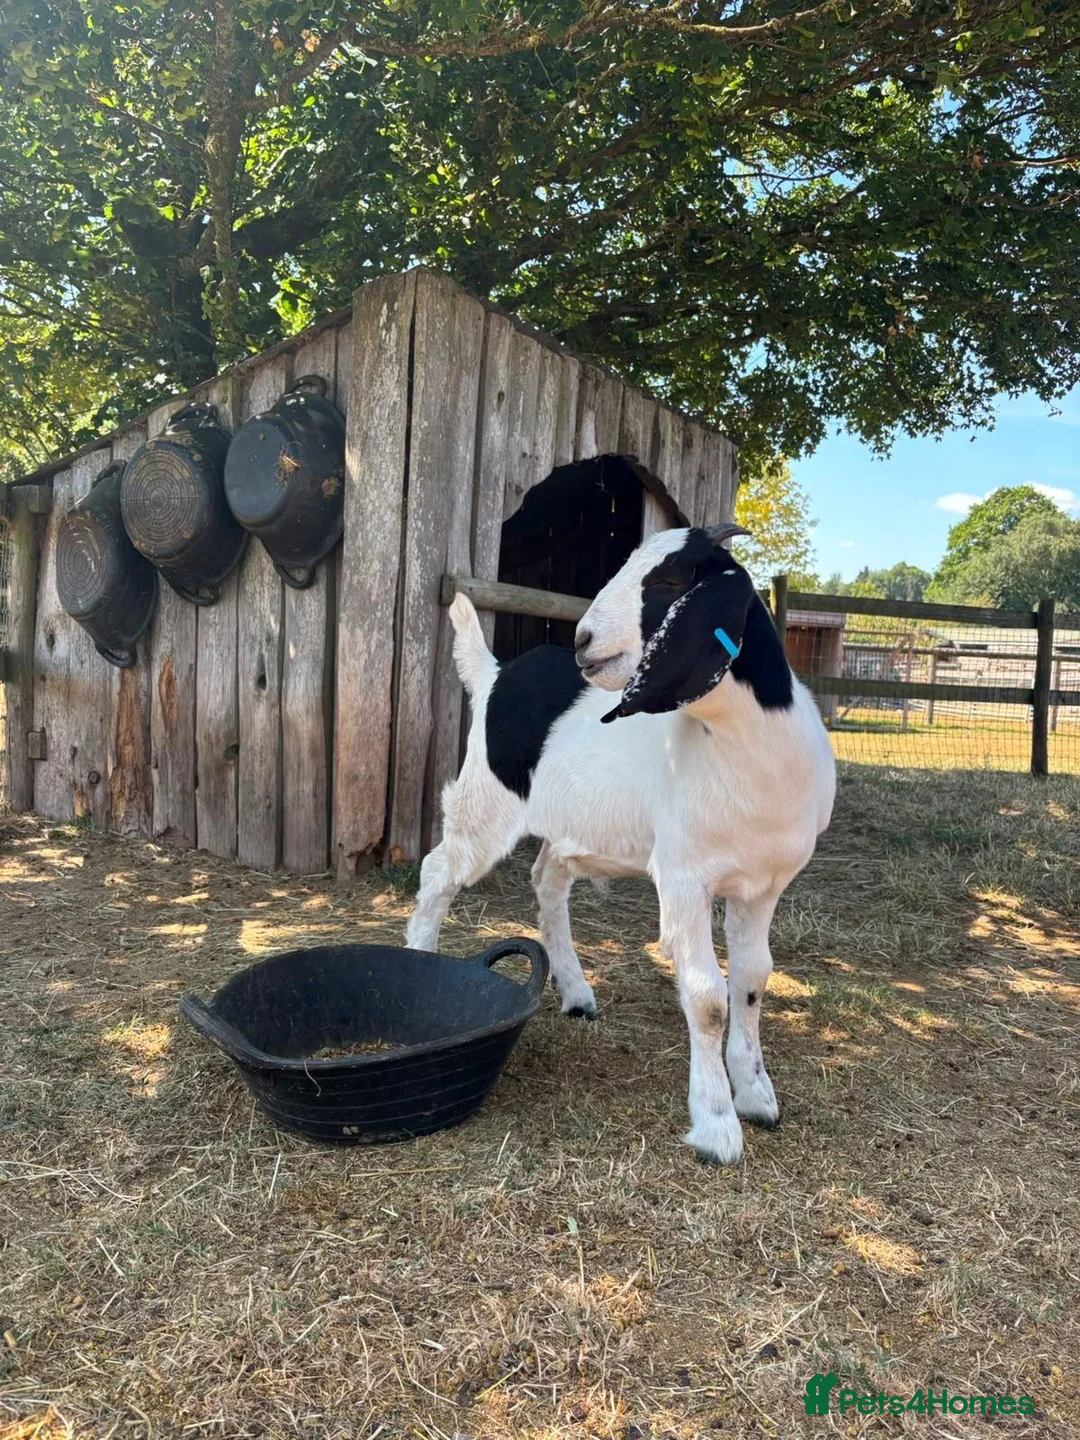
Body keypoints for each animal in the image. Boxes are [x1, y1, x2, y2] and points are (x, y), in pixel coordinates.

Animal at [406, 523, 836, 1164]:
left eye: (670, 580)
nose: (583, 641)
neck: (746, 748)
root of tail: (495, 675)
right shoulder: (684, 876)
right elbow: (708, 998)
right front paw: (716, 1126)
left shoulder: (762, 885)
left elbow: (753, 981)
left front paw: (758, 1095)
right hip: (485, 803)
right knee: (438, 871)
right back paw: (420, 960)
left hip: (569, 827)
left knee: (546, 881)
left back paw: (577, 992)